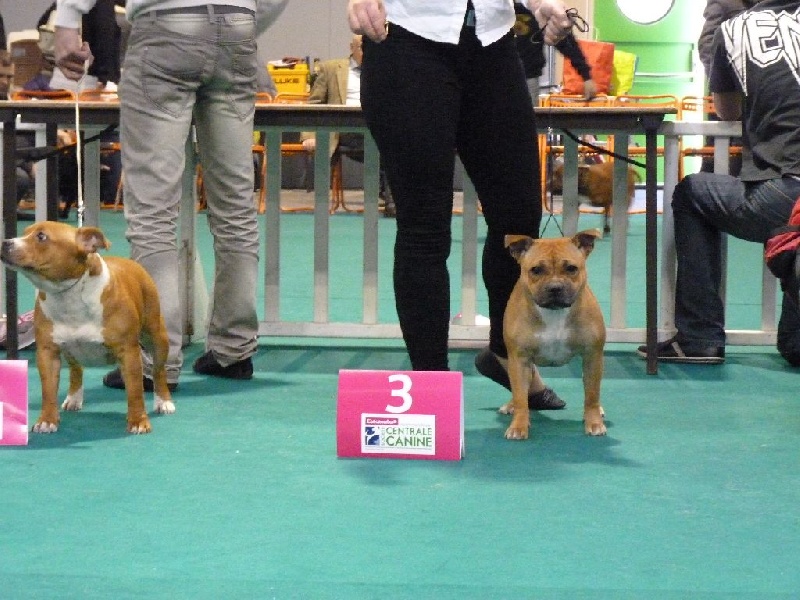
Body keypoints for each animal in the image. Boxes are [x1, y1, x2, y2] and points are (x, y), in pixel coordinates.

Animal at [0, 220, 174, 432]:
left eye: (41, 236)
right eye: (25, 232)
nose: (5, 243)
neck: (68, 295)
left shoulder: (128, 352)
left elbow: (135, 392)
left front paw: (138, 421)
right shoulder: (47, 352)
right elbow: (48, 391)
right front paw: (47, 420)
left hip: (157, 336)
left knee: (158, 370)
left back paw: (164, 401)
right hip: (70, 350)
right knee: (76, 369)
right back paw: (74, 398)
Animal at [500, 230, 608, 440]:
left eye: (572, 268)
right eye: (536, 270)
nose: (555, 287)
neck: (554, 312)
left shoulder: (592, 356)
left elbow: (592, 394)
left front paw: (594, 422)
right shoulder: (519, 360)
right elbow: (520, 397)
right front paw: (518, 426)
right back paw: (510, 405)